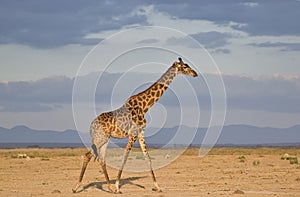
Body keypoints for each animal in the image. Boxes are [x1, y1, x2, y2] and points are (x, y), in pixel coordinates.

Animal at [72, 57, 198, 194]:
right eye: (185, 66)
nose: (195, 74)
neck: (145, 106)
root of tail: (92, 124)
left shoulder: (141, 134)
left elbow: (147, 157)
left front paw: (157, 187)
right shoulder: (132, 134)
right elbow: (125, 157)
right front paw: (118, 187)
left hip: (104, 138)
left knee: (101, 159)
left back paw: (109, 188)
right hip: (101, 137)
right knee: (87, 155)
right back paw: (76, 187)